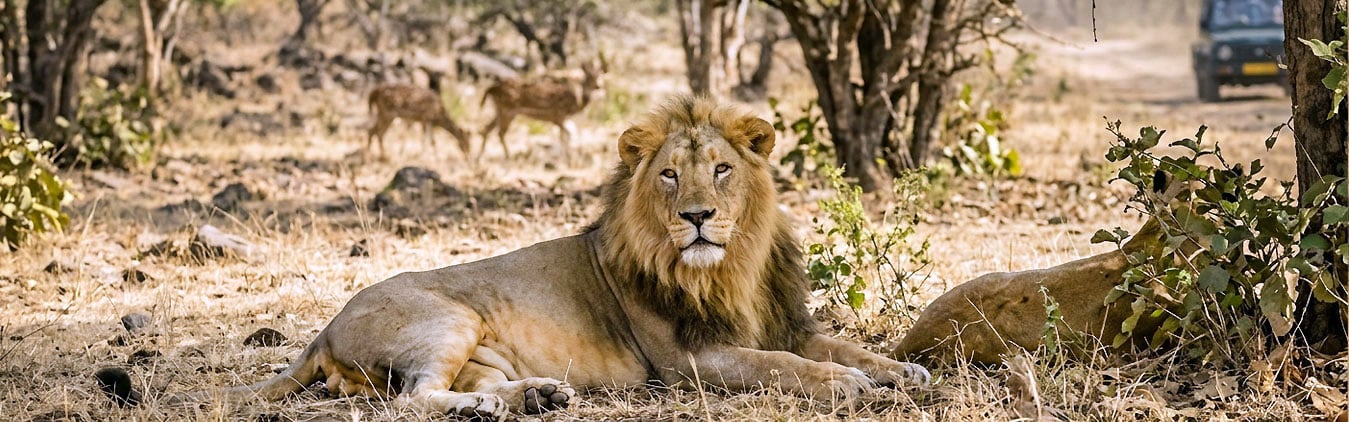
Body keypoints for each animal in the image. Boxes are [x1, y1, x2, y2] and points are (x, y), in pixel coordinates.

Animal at [111, 95, 929, 418]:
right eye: (669, 176)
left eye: (722, 170)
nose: (696, 217)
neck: (730, 266)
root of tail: (322, 328)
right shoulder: (691, 360)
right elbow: (784, 367)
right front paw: (848, 385)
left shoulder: (784, 321)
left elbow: (841, 345)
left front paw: (901, 371)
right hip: (445, 319)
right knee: (411, 401)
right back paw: (492, 407)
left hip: (478, 349)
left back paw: (537, 396)